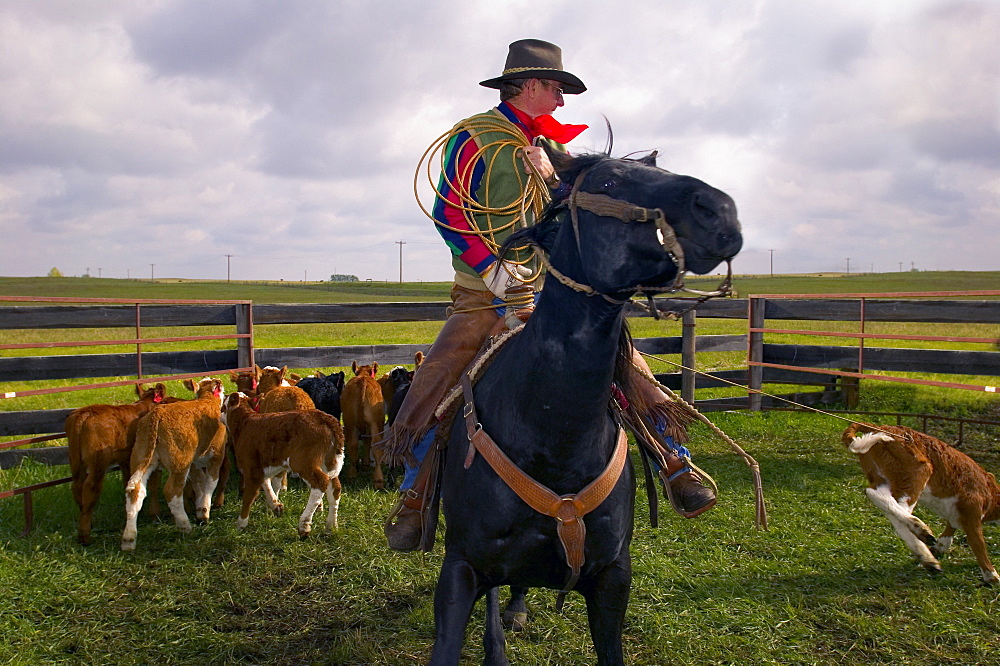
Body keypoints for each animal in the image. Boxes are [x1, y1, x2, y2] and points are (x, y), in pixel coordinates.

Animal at [67, 382, 168, 544]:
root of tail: (84, 414)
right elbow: (153, 485)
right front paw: (155, 513)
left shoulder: (125, 460)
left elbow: (128, 482)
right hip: (98, 461)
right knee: (90, 488)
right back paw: (85, 535)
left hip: (75, 461)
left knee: (77, 487)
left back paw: (87, 521)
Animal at [122, 376, 228, 548]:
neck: (207, 400)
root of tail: (156, 415)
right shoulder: (216, 457)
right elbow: (210, 484)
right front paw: (204, 512)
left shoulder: (194, 463)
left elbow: (198, 484)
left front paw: (199, 510)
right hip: (180, 462)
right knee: (172, 491)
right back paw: (185, 526)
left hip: (141, 457)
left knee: (135, 492)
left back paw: (128, 539)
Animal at [222, 392, 346, 536]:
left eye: (223, 407)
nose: (219, 415)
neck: (245, 423)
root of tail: (326, 418)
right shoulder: (267, 466)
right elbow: (268, 483)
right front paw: (275, 506)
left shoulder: (250, 467)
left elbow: (249, 496)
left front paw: (241, 524)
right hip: (329, 463)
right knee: (335, 488)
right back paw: (331, 526)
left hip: (302, 462)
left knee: (320, 482)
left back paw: (304, 525)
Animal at [844, 420, 1000, 580]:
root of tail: (880, 427)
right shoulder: (972, 510)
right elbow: (978, 542)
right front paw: (992, 575)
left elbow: (951, 529)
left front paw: (939, 547)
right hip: (915, 474)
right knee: (894, 506)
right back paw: (921, 531)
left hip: (883, 476)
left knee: (879, 497)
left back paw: (927, 556)